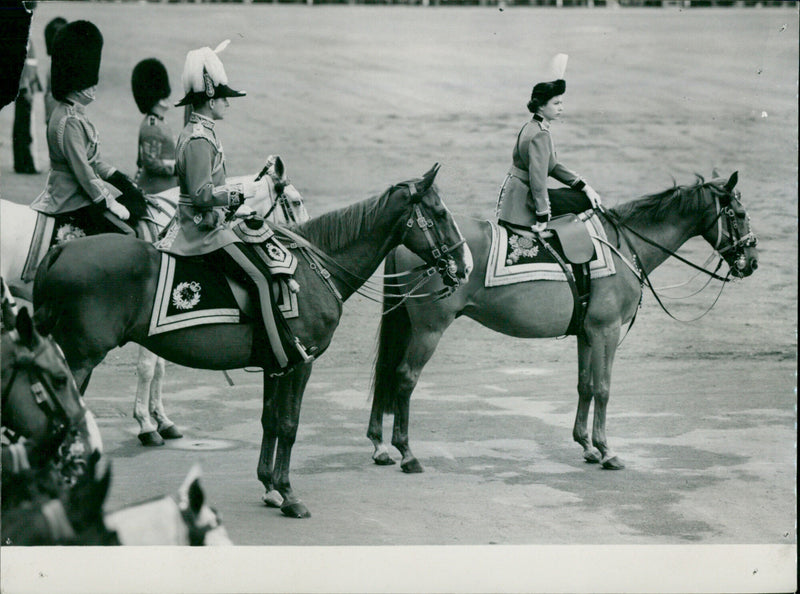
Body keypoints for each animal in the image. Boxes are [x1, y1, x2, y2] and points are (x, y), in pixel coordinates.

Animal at [0, 157, 310, 444]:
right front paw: (147, 425)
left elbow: (159, 367)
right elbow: (148, 369)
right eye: (296, 202)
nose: (303, 243)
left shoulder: (163, 320)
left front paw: (161, 420)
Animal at [34, 164, 472, 516]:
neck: (314, 268)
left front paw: (270, 487)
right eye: (439, 214)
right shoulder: (300, 364)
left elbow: (270, 421)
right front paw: (289, 495)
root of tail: (62, 251)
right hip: (78, 360)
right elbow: (290, 425)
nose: (465, 264)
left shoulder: (276, 365)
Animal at [368, 171, 756, 472]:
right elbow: (604, 388)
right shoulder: (606, 331)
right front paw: (607, 450)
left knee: (388, 372)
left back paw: (379, 445)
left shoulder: (587, 333)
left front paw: (585, 444)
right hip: (428, 330)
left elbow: (585, 385)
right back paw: (406, 453)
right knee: (404, 378)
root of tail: (405, 243)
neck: (623, 243)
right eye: (738, 213)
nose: (751, 262)